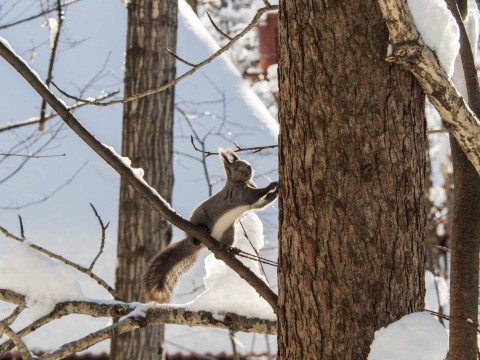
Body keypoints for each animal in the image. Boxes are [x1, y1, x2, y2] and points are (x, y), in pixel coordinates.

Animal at [142, 149, 278, 304]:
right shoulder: (241, 193)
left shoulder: (251, 200)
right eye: (235, 168)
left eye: (245, 162)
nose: (249, 167)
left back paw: (231, 250)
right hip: (200, 219)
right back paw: (202, 230)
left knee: (218, 254)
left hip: (229, 233)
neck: (239, 183)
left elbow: (262, 202)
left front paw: (276, 192)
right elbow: (255, 196)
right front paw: (271, 186)